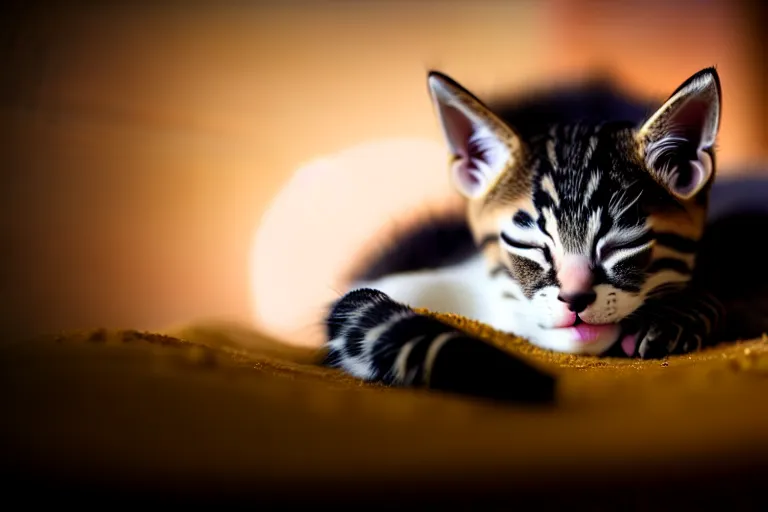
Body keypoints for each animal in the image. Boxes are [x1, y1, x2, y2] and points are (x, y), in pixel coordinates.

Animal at [322, 68, 760, 404]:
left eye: (623, 245)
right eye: (528, 245)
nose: (576, 297)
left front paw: (674, 319)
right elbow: (365, 312)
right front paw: (484, 365)